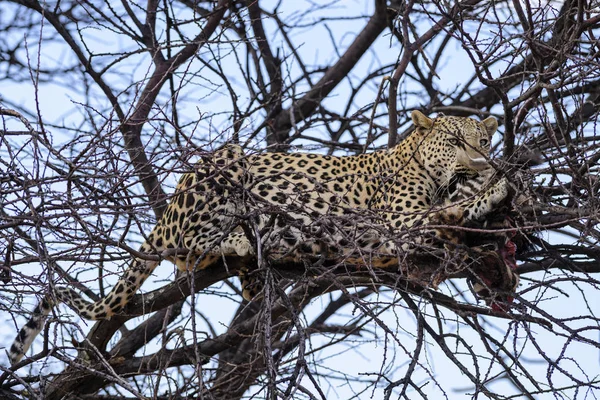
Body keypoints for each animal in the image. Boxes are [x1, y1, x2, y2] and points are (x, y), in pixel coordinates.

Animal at [7, 110, 508, 366]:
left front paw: (497, 274)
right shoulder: (396, 224)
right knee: (191, 247)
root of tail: (163, 216)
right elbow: (450, 212)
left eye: (483, 140)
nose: (480, 162)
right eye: (454, 141)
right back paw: (240, 240)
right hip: (225, 162)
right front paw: (500, 186)